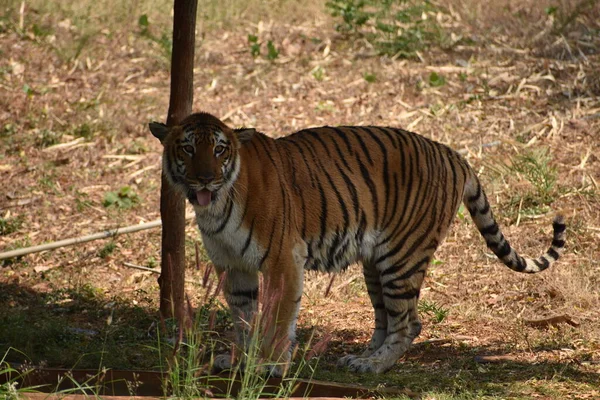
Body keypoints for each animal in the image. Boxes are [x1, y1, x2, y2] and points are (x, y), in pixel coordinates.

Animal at [150, 111, 568, 376]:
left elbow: (278, 316)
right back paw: (359, 356)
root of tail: (452, 153)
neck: (217, 205)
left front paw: (271, 363)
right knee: (386, 318)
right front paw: (240, 358)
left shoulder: (283, 260)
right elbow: (243, 318)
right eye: (188, 148)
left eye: (220, 149)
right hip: (376, 264)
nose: (205, 178)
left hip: (402, 258)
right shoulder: (232, 266)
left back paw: (374, 365)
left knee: (409, 322)